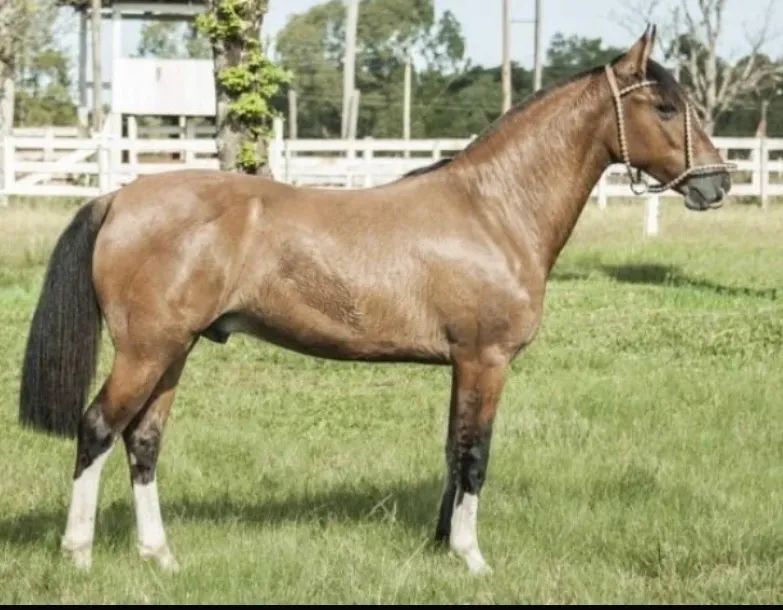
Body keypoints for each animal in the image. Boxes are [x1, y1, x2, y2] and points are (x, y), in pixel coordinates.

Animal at [19, 26, 732, 574]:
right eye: (664, 107)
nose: (717, 184)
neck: (494, 209)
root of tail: (120, 196)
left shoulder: (463, 364)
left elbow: (453, 450)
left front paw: (441, 546)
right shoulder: (487, 360)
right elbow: (475, 455)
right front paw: (472, 558)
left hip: (173, 351)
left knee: (143, 441)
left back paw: (160, 556)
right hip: (146, 351)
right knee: (97, 427)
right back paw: (78, 554)